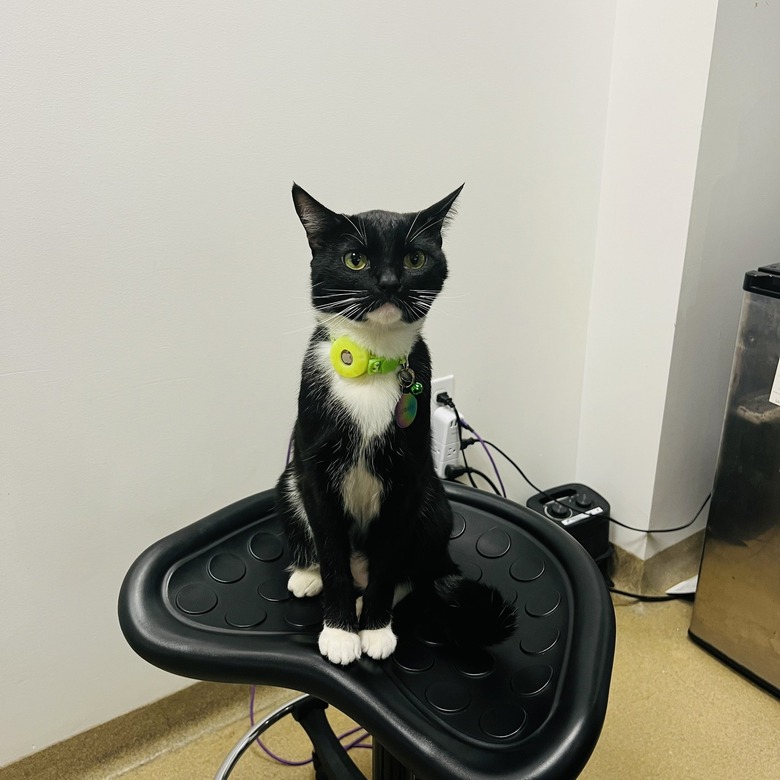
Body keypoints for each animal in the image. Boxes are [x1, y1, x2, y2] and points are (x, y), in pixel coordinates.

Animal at [276, 184, 516, 664]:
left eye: (414, 259)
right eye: (355, 259)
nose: (389, 282)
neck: (371, 360)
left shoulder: (407, 475)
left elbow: (389, 560)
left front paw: (374, 629)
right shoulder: (313, 467)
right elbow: (331, 548)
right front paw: (340, 632)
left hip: (434, 503)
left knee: (413, 571)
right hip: (290, 481)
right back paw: (309, 576)